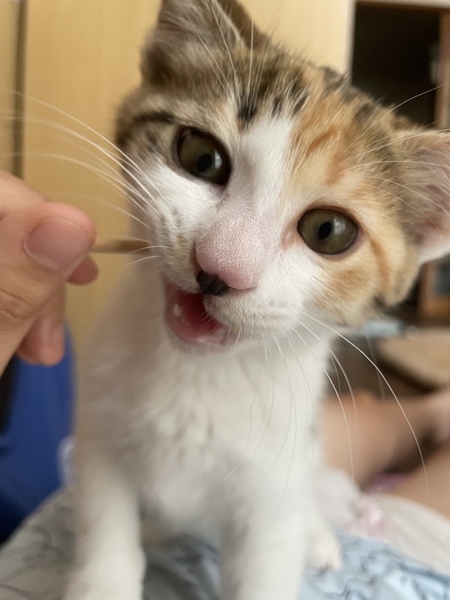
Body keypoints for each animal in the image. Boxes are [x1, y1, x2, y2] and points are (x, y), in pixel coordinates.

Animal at [65, 1, 450, 599]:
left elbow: (266, 561)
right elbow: (103, 526)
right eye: (200, 157)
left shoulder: (273, 486)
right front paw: (103, 577)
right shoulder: (97, 434)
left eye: (329, 231)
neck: (200, 376)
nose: (219, 268)